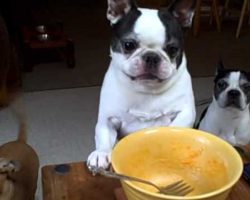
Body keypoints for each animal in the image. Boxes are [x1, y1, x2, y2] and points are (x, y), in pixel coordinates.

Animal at [87, 0, 196, 170]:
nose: (151, 56)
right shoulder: (108, 119)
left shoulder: (187, 113)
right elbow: (104, 137)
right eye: (128, 45)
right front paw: (101, 153)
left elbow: (174, 127)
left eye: (173, 49)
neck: (146, 89)